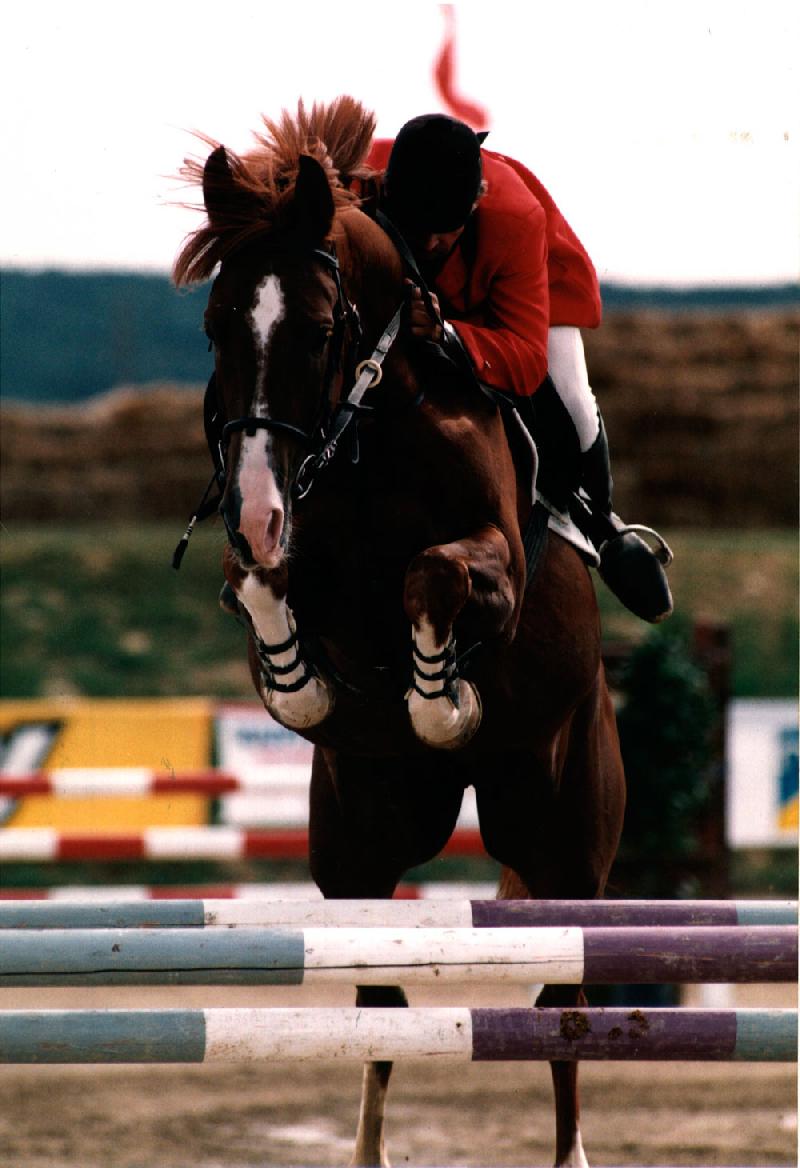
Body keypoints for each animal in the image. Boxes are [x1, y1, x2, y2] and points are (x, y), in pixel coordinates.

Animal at [174, 96, 626, 1168]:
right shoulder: (286, 556)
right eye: (215, 329)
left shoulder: (493, 566)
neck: (368, 429)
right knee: (378, 1002)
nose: (256, 511)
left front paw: (439, 701)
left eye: (319, 329)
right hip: (358, 848)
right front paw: (301, 682)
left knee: (566, 1000)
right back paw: (370, 1148)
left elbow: (435, 575)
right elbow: (264, 589)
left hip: (564, 839)